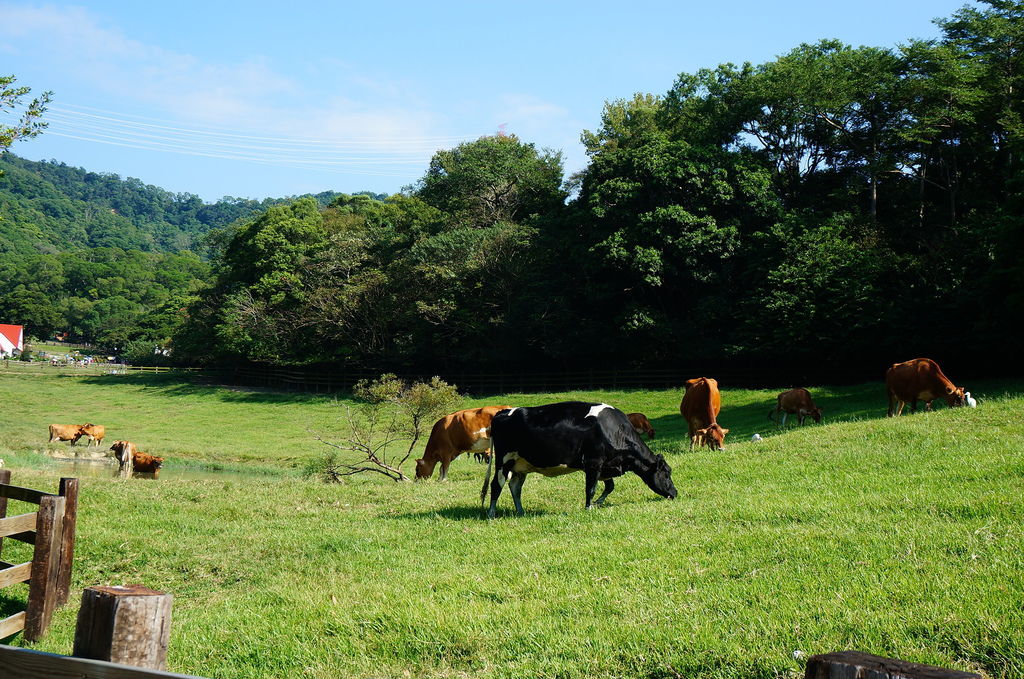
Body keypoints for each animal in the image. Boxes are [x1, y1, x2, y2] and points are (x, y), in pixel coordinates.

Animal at [481, 401, 675, 518]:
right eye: (666, 473)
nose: (675, 493)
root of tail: (502, 412)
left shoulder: (606, 466)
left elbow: (610, 487)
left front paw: (598, 503)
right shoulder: (593, 463)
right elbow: (591, 488)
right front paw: (589, 507)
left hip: (521, 464)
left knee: (515, 486)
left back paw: (521, 511)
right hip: (503, 460)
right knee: (496, 484)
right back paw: (491, 513)